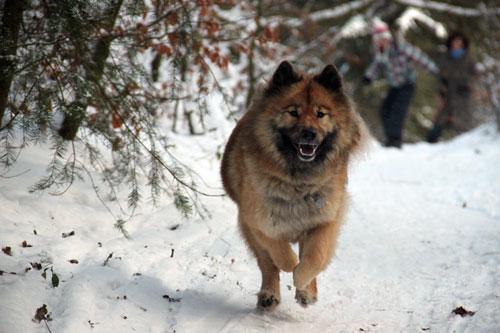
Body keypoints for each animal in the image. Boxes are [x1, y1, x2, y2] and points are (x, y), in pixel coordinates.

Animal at [221, 61, 366, 310]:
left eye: (320, 114)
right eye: (293, 112)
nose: (309, 133)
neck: (298, 183)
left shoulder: (325, 220)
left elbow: (316, 258)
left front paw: (302, 280)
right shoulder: (257, 219)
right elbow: (280, 253)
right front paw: (291, 265)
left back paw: (307, 292)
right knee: (268, 265)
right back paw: (269, 295)